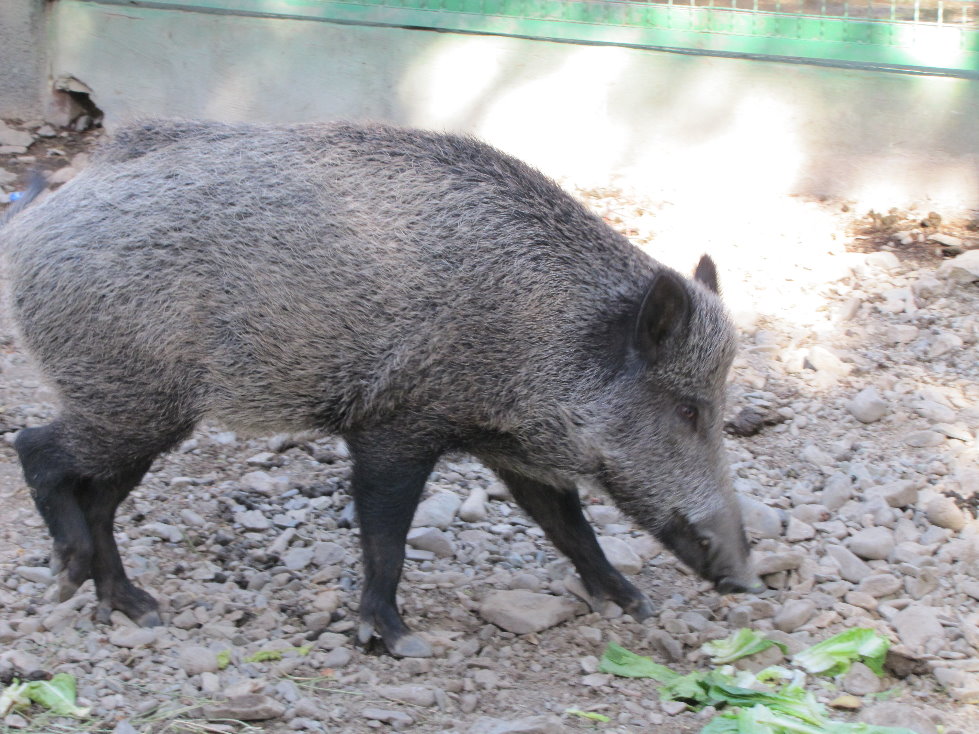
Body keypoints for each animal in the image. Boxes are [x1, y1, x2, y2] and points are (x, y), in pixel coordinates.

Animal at [1, 121, 761, 657]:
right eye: (687, 408)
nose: (745, 581)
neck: (543, 332)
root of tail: (34, 222)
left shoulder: (511, 447)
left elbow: (570, 528)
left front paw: (635, 604)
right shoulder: (396, 426)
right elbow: (386, 539)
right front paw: (397, 640)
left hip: (141, 412)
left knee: (99, 498)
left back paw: (135, 607)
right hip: (128, 399)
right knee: (36, 448)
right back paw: (67, 574)